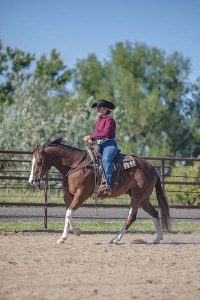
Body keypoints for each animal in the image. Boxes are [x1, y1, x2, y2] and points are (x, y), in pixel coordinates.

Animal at [28, 138, 171, 244]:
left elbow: (68, 213)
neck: (76, 164)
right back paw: (158, 238)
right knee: (154, 213)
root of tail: (152, 168)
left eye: (39, 162)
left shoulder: (82, 194)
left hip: (137, 196)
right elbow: (68, 213)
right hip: (143, 198)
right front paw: (64, 237)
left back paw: (116, 239)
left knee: (131, 216)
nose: (32, 181)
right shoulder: (68, 195)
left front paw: (76, 232)